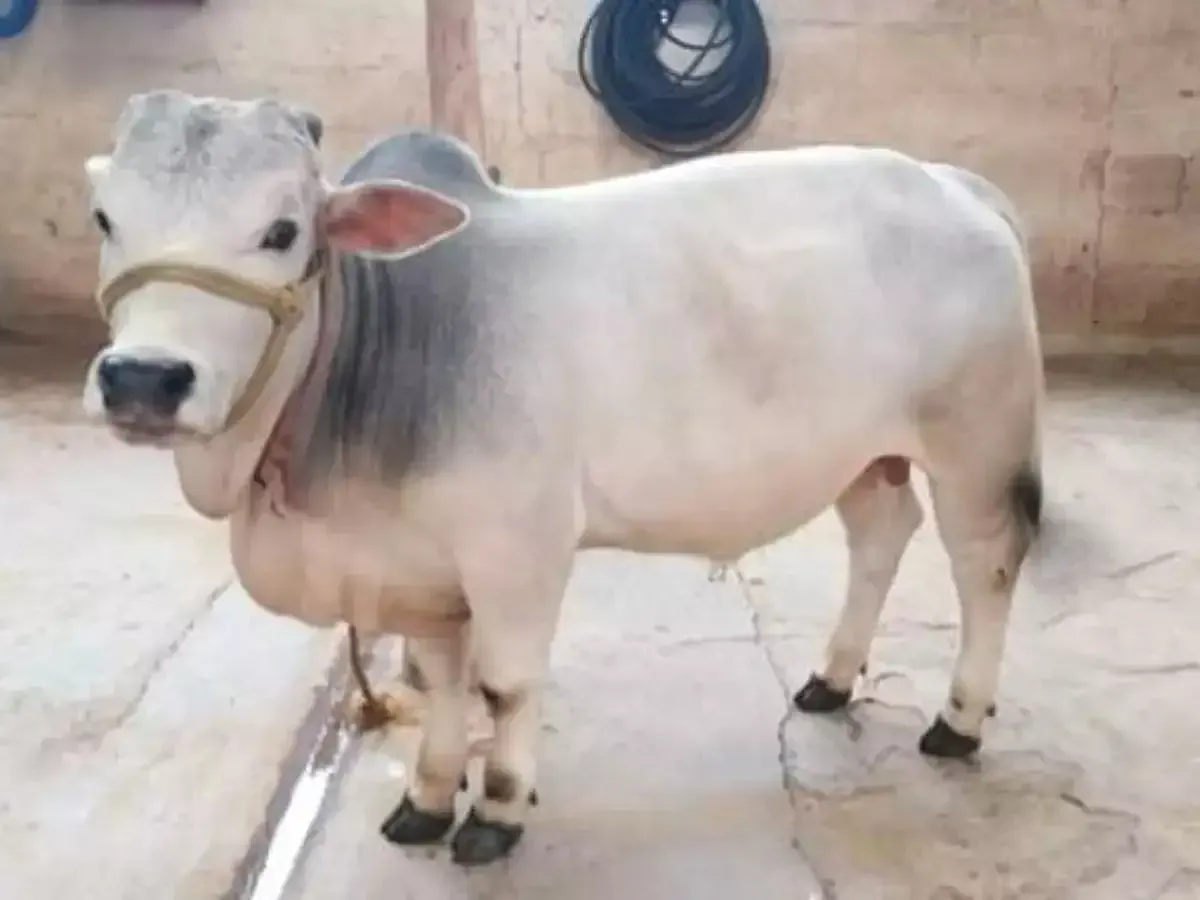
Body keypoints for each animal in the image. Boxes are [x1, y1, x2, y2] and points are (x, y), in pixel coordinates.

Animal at [81, 90, 1045, 867]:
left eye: (282, 231)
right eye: (104, 220)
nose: (143, 379)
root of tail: (956, 183)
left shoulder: (520, 546)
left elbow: (504, 687)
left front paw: (495, 813)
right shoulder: (421, 572)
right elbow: (438, 683)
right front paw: (427, 799)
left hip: (977, 443)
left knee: (986, 565)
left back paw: (958, 720)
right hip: (864, 454)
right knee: (881, 535)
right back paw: (833, 678)